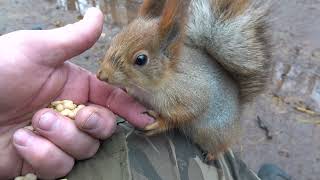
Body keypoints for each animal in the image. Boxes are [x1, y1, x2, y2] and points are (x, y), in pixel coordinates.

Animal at [97, 0, 270, 160]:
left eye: (141, 59)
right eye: (116, 38)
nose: (101, 75)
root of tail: (238, 101)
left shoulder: (192, 92)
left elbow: (187, 113)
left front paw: (160, 122)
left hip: (213, 133)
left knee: (221, 145)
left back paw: (213, 154)